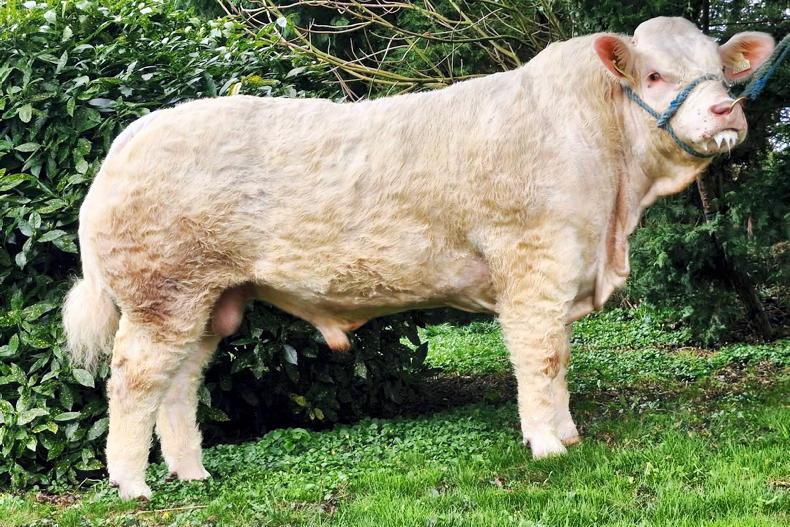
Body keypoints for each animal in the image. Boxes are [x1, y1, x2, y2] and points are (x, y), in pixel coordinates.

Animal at [62, 17, 774, 499]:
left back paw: (192, 471)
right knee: (133, 381)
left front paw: (568, 434)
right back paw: (133, 484)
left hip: (210, 299)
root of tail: (128, 140)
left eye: (721, 71)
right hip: (162, 292)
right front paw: (548, 447)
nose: (726, 108)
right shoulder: (531, 264)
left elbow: (561, 359)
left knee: (181, 382)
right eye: (655, 75)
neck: (614, 213)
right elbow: (540, 358)